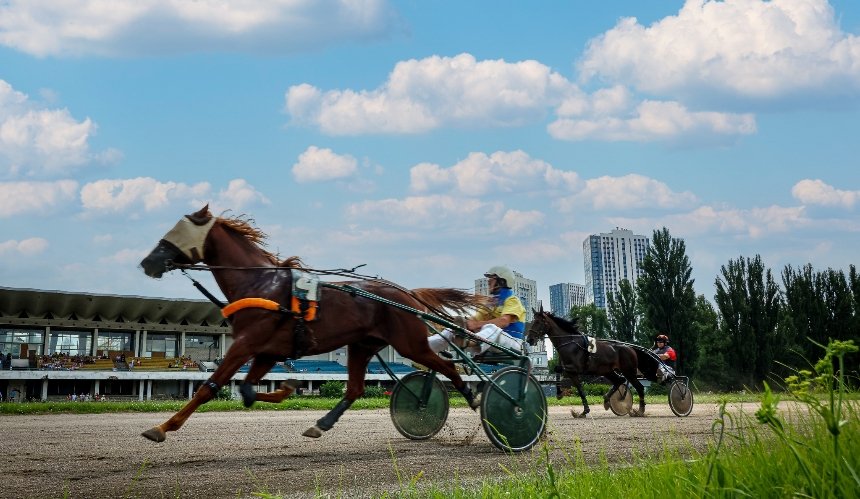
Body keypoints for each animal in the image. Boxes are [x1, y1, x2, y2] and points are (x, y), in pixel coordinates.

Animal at [141, 205, 490, 444]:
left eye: (173, 234)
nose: (147, 262)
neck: (261, 285)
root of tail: (407, 293)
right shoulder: (267, 351)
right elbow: (248, 390)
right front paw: (286, 387)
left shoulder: (246, 344)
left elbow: (209, 387)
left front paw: (161, 427)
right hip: (362, 345)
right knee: (355, 388)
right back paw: (320, 424)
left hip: (409, 343)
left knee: (448, 366)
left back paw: (473, 396)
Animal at [524, 308, 652, 418]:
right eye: (533, 321)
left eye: (538, 322)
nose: (529, 339)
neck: (569, 343)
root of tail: (631, 348)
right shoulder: (572, 372)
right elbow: (579, 389)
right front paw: (583, 411)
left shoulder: (576, 368)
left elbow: (557, 369)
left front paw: (560, 394)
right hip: (607, 371)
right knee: (619, 380)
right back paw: (607, 400)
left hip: (629, 371)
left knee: (639, 387)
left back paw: (639, 411)